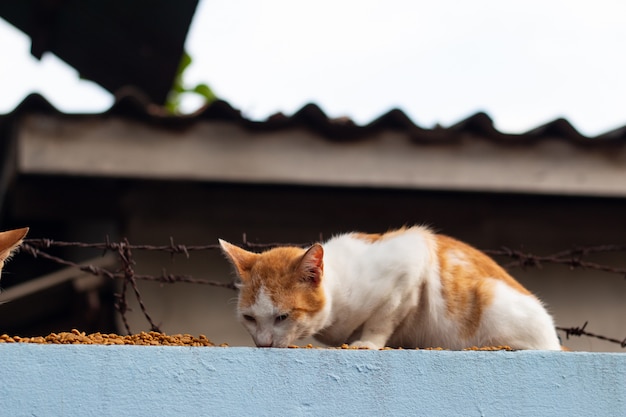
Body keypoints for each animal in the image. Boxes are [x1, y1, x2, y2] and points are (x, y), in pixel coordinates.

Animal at [217, 226, 560, 350]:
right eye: (249, 318)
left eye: (283, 317)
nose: (262, 344)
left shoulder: (411, 258)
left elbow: (383, 319)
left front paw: (367, 343)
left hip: (492, 299)